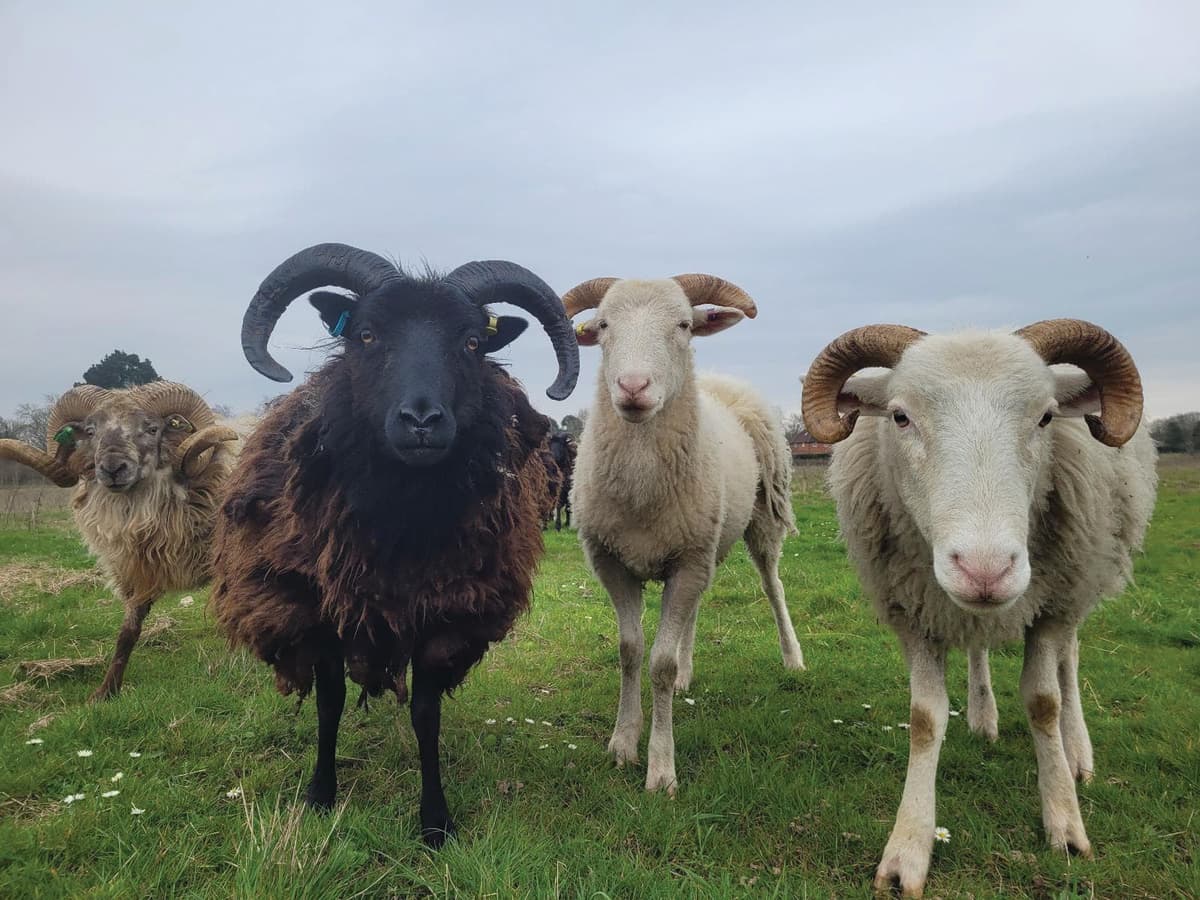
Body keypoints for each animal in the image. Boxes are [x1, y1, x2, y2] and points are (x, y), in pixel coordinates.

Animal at [0, 382, 237, 700]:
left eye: (152, 428)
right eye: (90, 431)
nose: (112, 468)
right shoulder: (137, 569)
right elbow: (128, 633)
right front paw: (106, 691)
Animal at [210, 242, 579, 846]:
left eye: (472, 342)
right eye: (365, 333)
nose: (421, 419)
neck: (400, 530)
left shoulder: (444, 617)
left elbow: (426, 717)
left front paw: (436, 823)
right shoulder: (321, 613)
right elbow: (330, 705)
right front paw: (320, 796)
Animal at [564, 275, 804, 794]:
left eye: (683, 325)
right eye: (603, 325)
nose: (633, 387)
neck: (641, 490)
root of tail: (716, 381)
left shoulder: (687, 562)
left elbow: (659, 663)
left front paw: (661, 768)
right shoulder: (614, 563)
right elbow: (631, 652)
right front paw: (622, 743)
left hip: (757, 522)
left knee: (772, 586)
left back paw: (793, 658)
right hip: (705, 545)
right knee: (695, 610)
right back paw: (686, 677)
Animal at [801, 319, 1157, 897]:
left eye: (1046, 416)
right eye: (900, 416)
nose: (984, 570)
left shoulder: (1052, 604)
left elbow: (1044, 703)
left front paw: (1065, 823)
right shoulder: (915, 612)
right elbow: (924, 719)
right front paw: (908, 849)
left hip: (1083, 575)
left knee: (1070, 662)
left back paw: (1077, 753)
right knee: (977, 648)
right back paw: (983, 716)